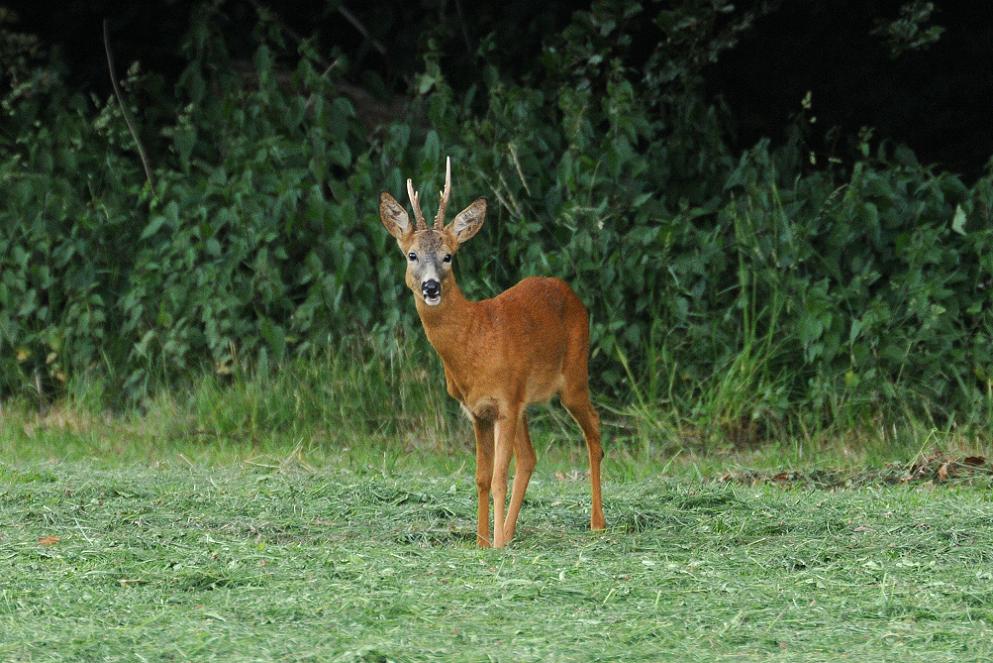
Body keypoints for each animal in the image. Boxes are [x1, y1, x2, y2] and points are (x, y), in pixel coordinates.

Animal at [374, 157, 600, 548]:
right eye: (411, 254)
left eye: (448, 256)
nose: (431, 287)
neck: (474, 341)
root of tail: (570, 293)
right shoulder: (478, 410)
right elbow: (481, 478)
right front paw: (482, 543)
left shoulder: (505, 402)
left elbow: (497, 478)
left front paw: (492, 545)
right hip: (526, 400)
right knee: (530, 458)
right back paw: (508, 534)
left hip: (573, 378)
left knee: (594, 433)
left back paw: (596, 524)